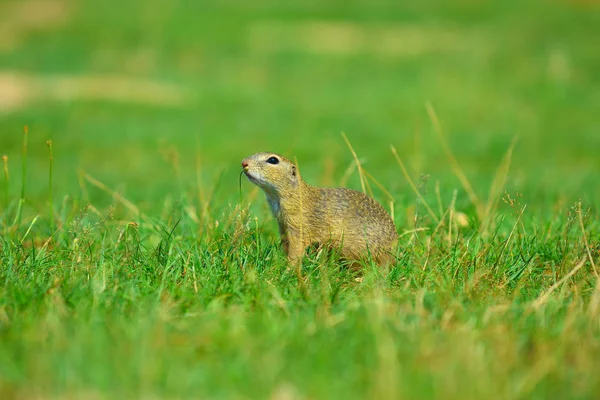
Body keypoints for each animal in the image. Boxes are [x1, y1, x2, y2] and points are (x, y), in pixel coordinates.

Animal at [241, 152, 396, 266]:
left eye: (273, 160)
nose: (244, 163)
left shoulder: (299, 226)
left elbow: (296, 249)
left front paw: (289, 269)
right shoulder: (283, 225)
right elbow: (286, 245)